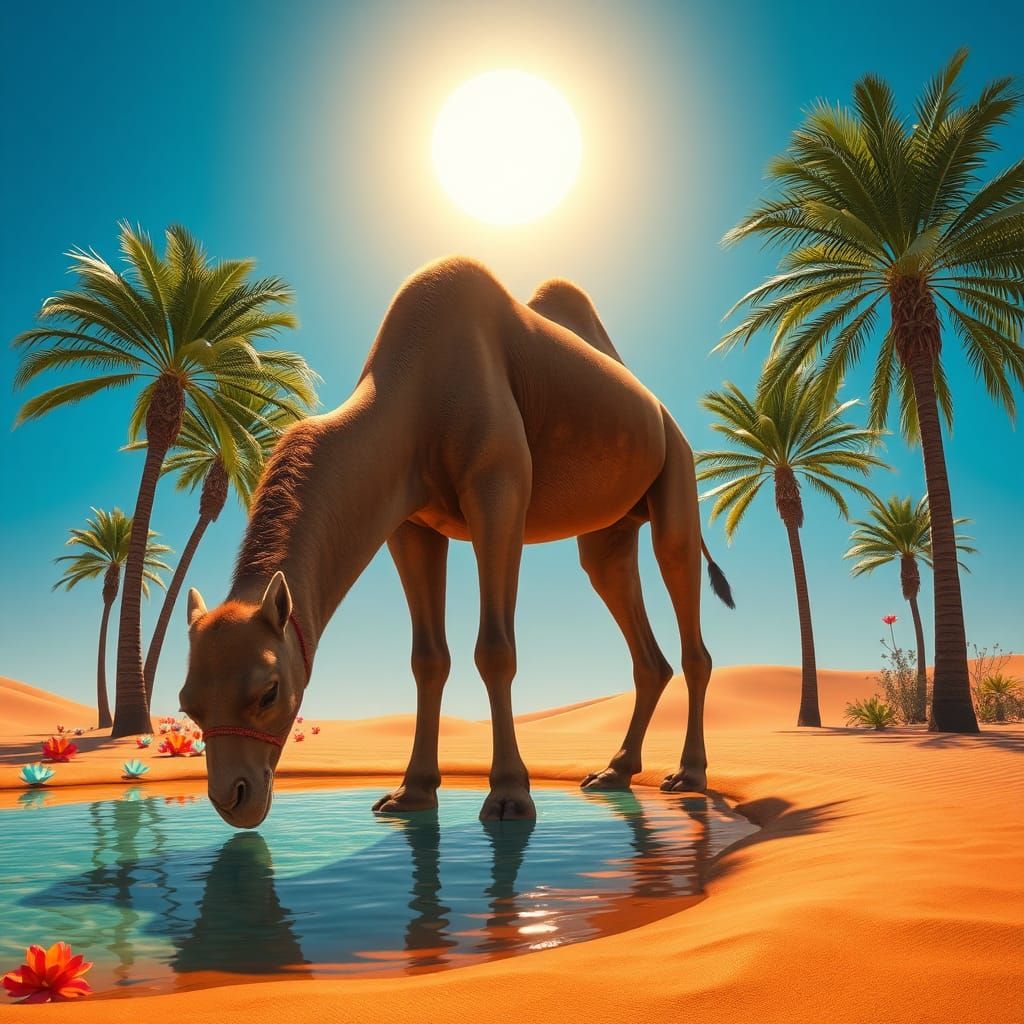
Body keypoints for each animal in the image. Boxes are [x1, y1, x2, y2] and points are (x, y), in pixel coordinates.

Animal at [180, 257, 733, 829]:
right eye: (187, 704)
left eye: (268, 691)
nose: (233, 797)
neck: (412, 391)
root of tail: (662, 413)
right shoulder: (410, 524)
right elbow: (428, 659)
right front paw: (411, 793)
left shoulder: (499, 493)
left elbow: (495, 650)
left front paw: (510, 796)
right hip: (610, 532)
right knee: (636, 629)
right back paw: (615, 771)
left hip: (677, 475)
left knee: (686, 608)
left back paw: (688, 776)